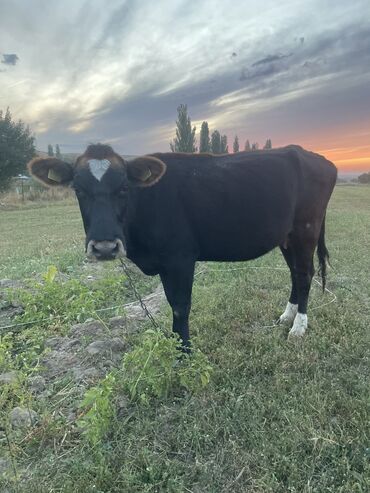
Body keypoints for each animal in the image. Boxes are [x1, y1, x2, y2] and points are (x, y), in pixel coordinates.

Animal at [27, 144, 336, 348]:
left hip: (306, 229)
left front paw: (183, 351)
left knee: (305, 274)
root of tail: (311, 155)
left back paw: (299, 327)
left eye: (124, 187)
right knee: (295, 273)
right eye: (78, 190)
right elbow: (172, 303)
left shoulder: (180, 258)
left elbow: (180, 305)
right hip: (287, 236)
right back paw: (287, 315)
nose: (104, 247)